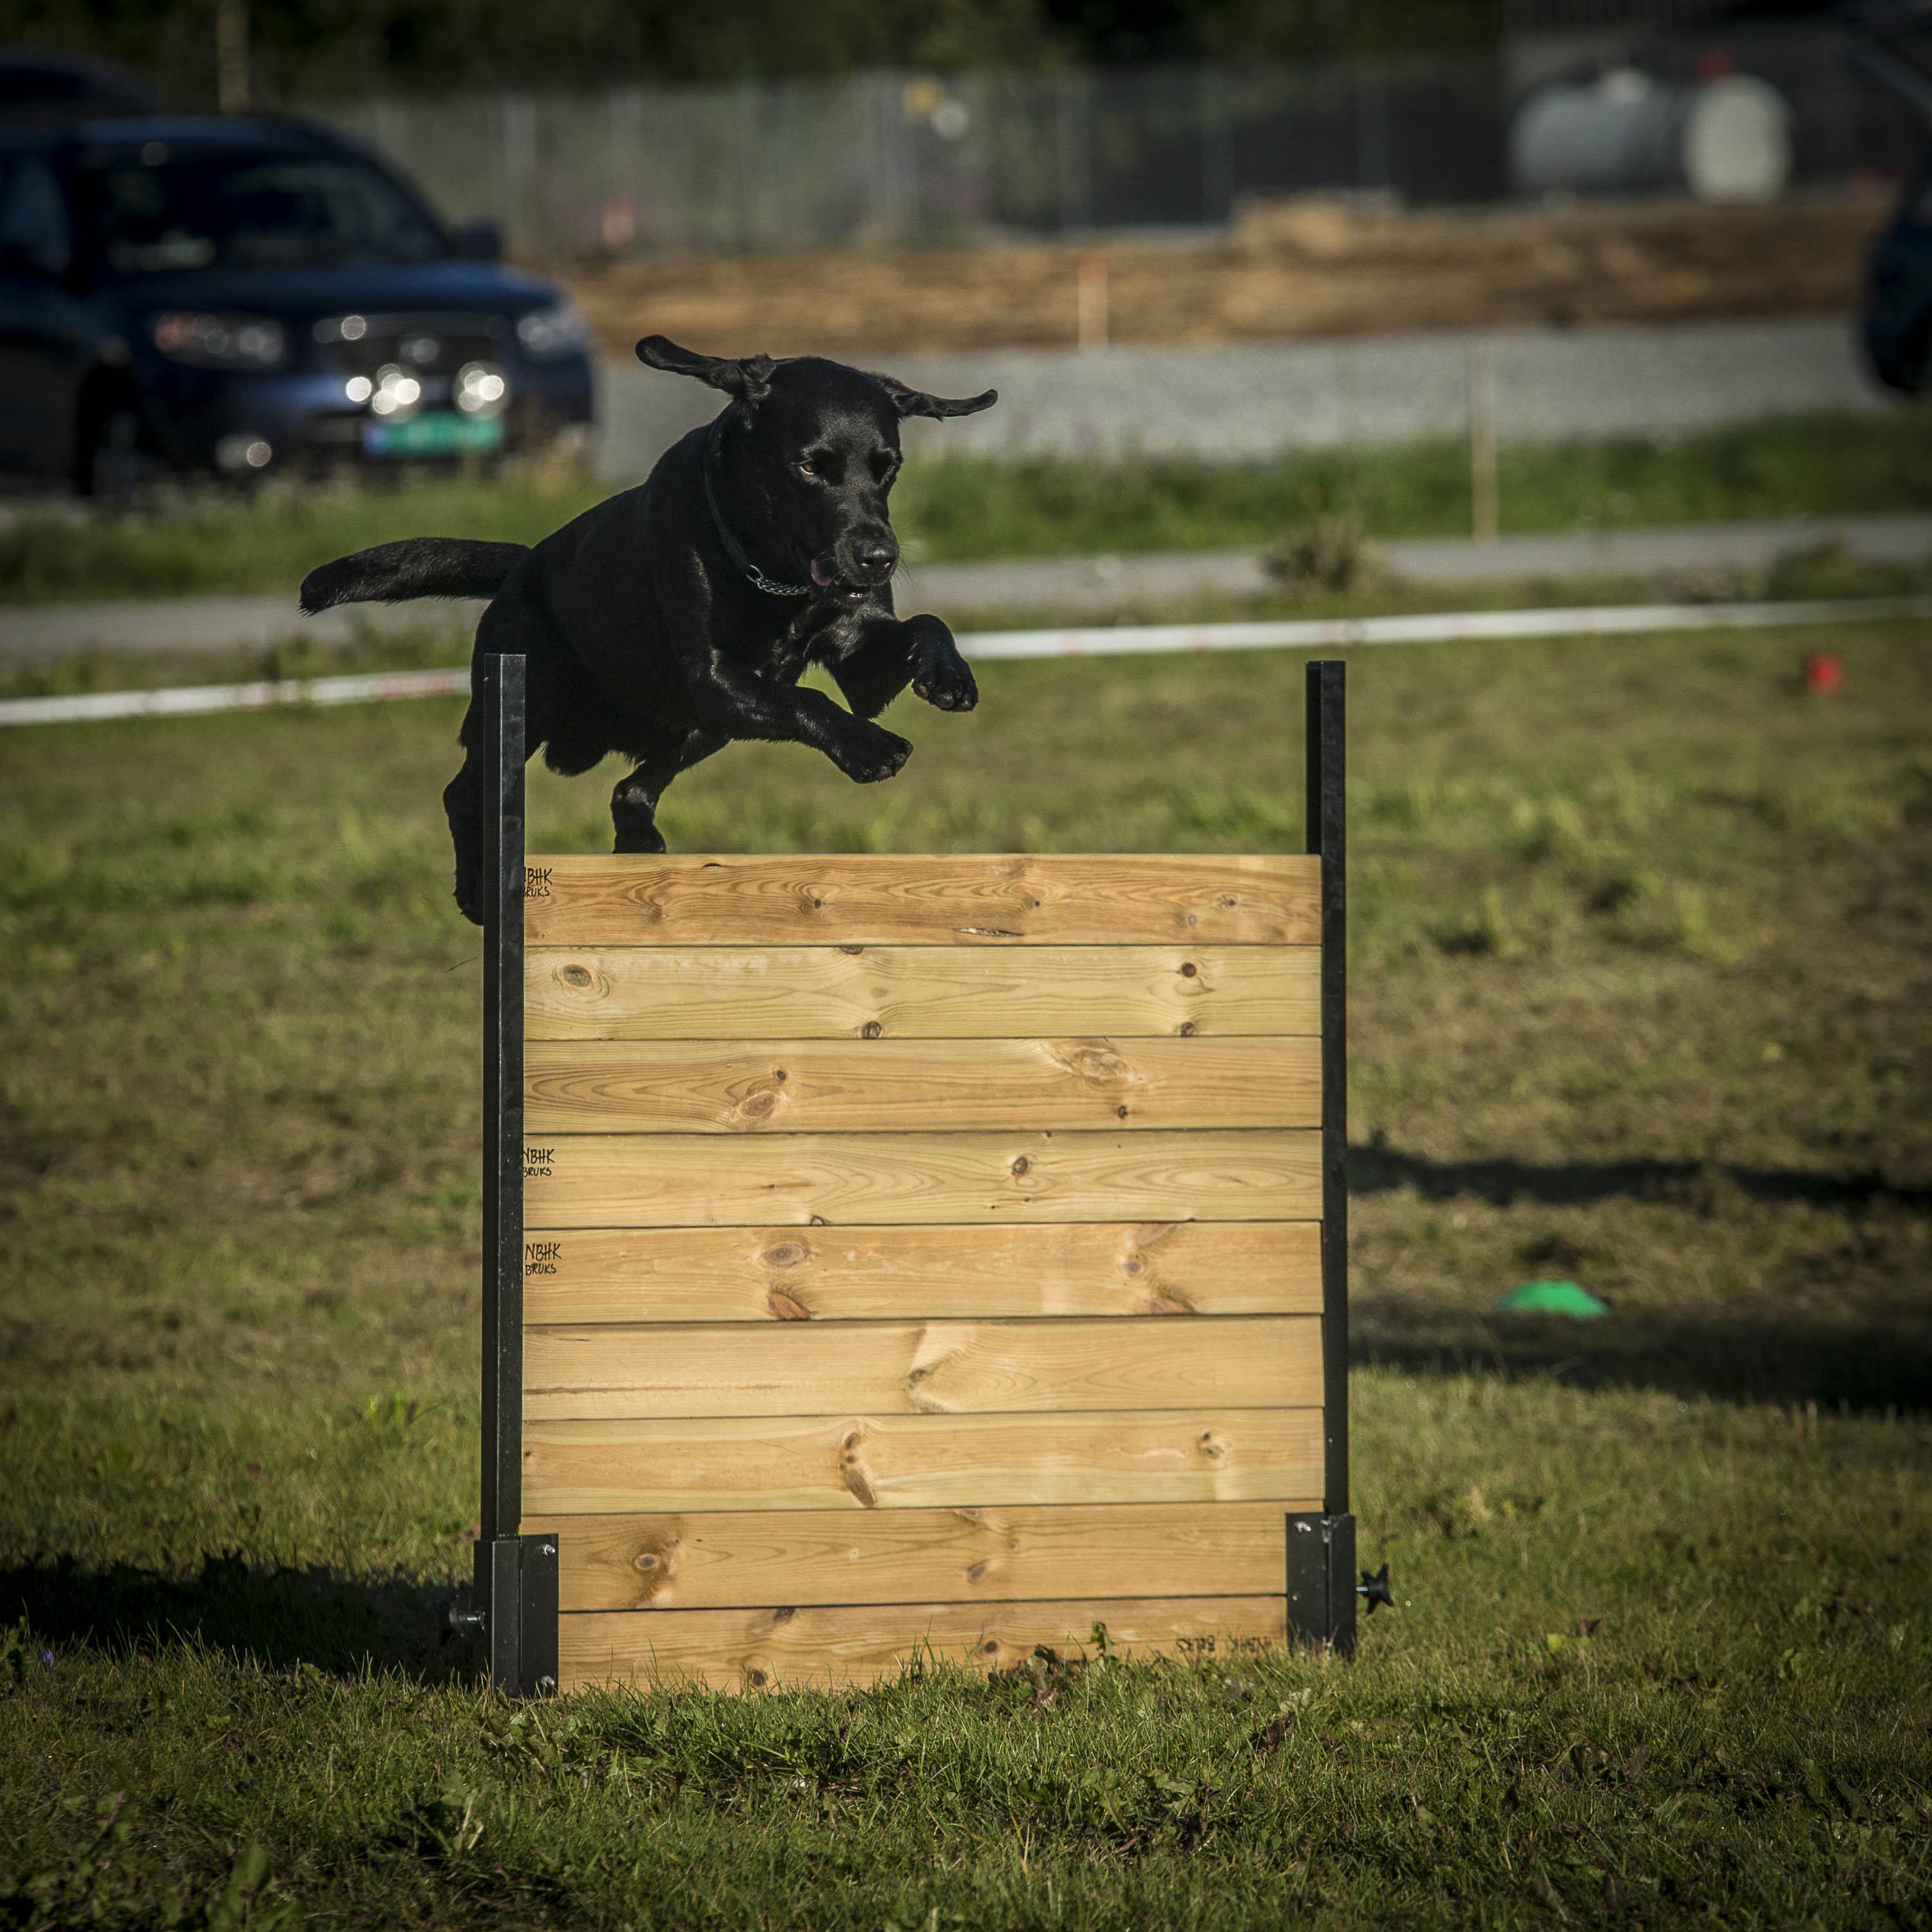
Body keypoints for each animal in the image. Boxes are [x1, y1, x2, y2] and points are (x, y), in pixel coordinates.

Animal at [305, 336, 997, 923]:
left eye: (888, 467)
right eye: (808, 467)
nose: (879, 557)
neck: (773, 577)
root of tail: (523, 565)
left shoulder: (850, 664)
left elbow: (920, 628)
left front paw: (949, 677)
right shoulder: (716, 678)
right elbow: (809, 698)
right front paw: (870, 748)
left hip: (699, 730)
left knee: (629, 790)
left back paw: (638, 840)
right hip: (532, 701)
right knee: (463, 794)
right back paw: (478, 893)